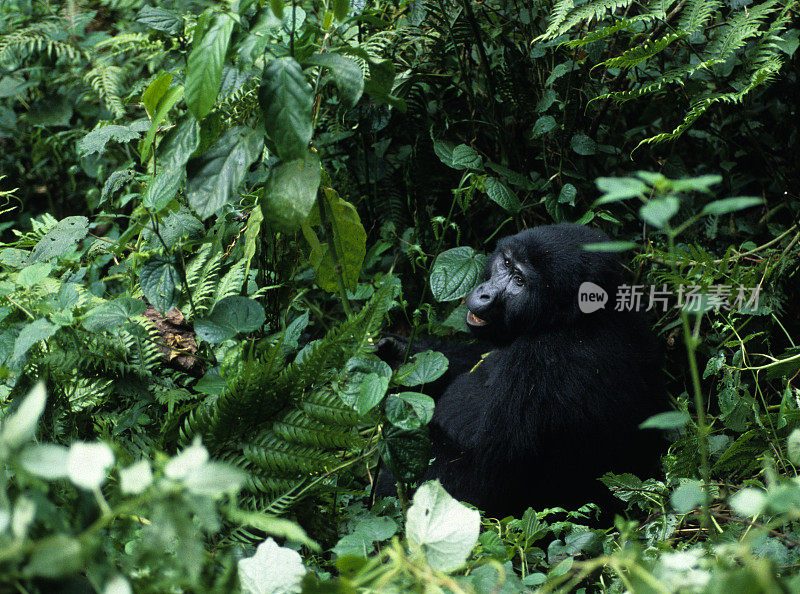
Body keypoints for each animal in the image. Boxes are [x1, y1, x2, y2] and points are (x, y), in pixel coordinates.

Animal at [378, 224, 664, 516]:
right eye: (505, 263)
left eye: (519, 280)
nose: (484, 293)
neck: (576, 319)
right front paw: (401, 355)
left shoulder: (542, 362)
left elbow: (473, 485)